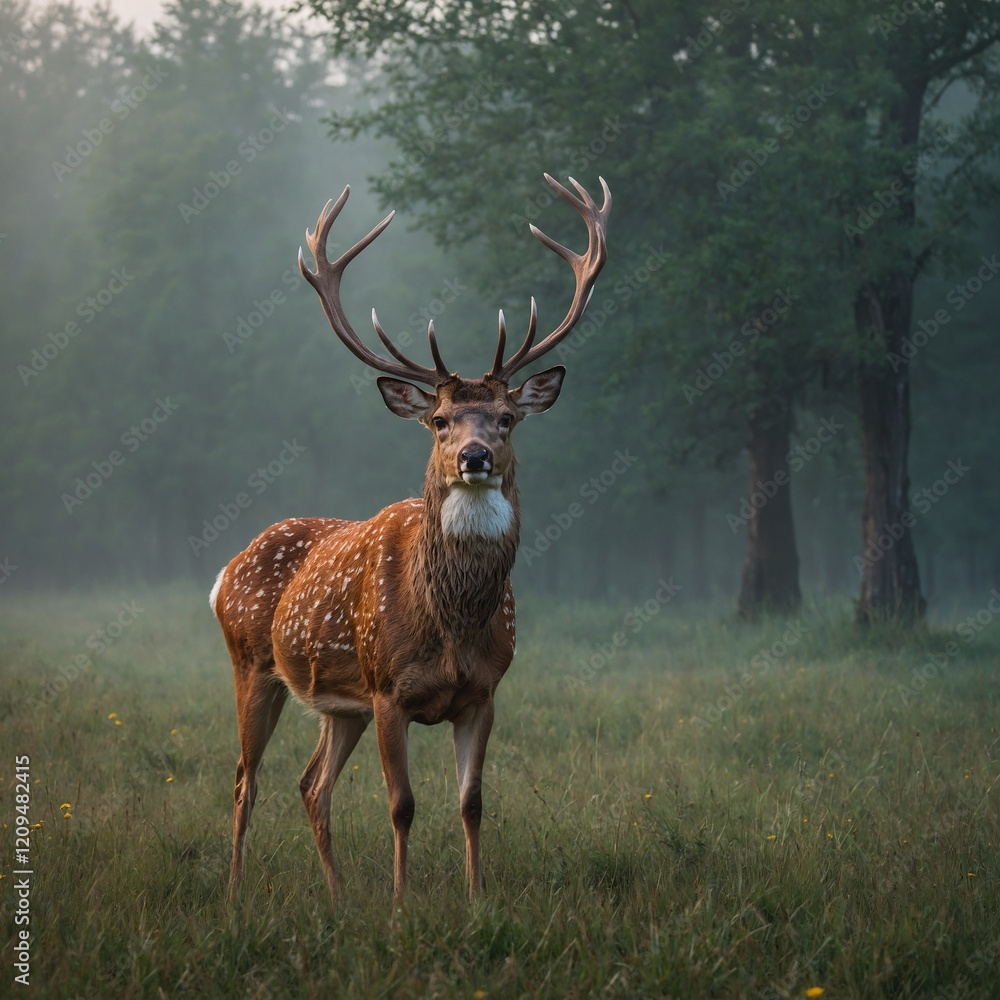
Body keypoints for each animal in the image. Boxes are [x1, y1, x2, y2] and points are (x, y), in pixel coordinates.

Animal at [212, 173, 610, 905]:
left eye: (507, 417)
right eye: (440, 420)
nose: (475, 457)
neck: (449, 623)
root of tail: (227, 569)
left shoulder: (484, 691)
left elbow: (472, 802)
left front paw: (477, 898)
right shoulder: (389, 689)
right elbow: (401, 805)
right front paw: (401, 906)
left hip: (339, 704)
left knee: (310, 785)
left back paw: (339, 899)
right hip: (252, 663)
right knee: (244, 780)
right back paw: (233, 894)